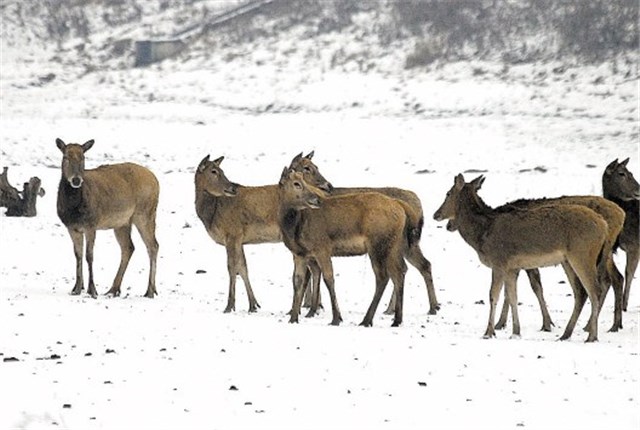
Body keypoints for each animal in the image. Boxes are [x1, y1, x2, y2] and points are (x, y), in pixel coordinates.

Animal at [55, 139, 159, 298]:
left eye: (83, 157)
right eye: (65, 157)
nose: (76, 180)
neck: (73, 209)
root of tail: (156, 180)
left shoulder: (91, 224)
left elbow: (89, 255)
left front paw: (92, 290)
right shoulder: (71, 227)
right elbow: (78, 255)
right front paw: (76, 288)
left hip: (145, 213)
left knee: (153, 246)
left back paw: (150, 291)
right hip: (122, 223)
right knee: (129, 247)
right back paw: (114, 289)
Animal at [276, 168, 418, 326]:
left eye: (304, 182)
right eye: (296, 183)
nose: (316, 200)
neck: (294, 228)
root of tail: (401, 207)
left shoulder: (322, 248)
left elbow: (329, 279)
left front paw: (336, 318)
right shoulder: (299, 254)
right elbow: (297, 281)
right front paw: (293, 318)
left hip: (377, 245)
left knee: (383, 276)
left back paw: (367, 320)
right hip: (393, 245)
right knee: (399, 272)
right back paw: (397, 320)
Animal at [288, 151, 438, 316]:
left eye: (315, 166)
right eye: (306, 168)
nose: (328, 185)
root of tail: (418, 208)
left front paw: (304, 308)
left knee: (407, 268)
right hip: (408, 243)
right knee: (421, 265)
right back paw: (429, 307)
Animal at [432, 175, 608, 342]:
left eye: (448, 193)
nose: (436, 214)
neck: (482, 235)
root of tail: (603, 224)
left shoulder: (499, 262)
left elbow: (493, 295)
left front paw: (489, 332)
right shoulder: (512, 268)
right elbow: (512, 297)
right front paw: (516, 332)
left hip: (582, 255)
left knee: (595, 290)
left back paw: (591, 336)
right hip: (567, 261)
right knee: (580, 292)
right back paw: (566, 334)